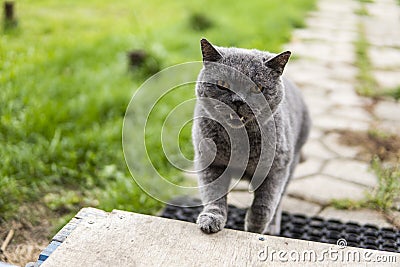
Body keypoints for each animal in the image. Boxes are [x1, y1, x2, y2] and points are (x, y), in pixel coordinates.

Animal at [192, 38, 310, 236]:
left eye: (258, 88)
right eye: (222, 84)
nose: (238, 100)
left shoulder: (276, 169)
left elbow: (264, 206)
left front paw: (254, 229)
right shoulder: (210, 162)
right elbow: (214, 195)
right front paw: (211, 220)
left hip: (291, 163)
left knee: (279, 200)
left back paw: (272, 227)